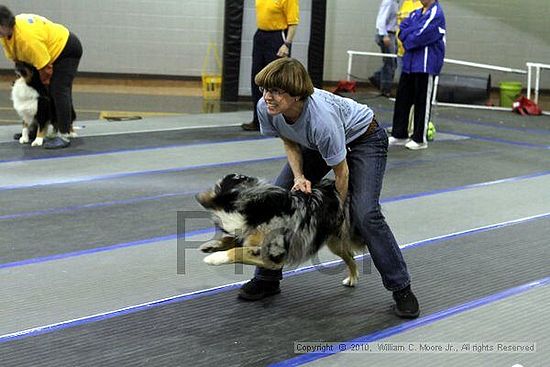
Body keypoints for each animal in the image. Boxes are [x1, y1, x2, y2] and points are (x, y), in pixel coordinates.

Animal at [196, 174, 368, 286]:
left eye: (216, 186)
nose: (197, 195)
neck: (255, 207)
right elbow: (233, 240)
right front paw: (212, 245)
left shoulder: (274, 255)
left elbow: (238, 251)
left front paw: (216, 258)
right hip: (334, 242)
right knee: (351, 257)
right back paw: (352, 279)